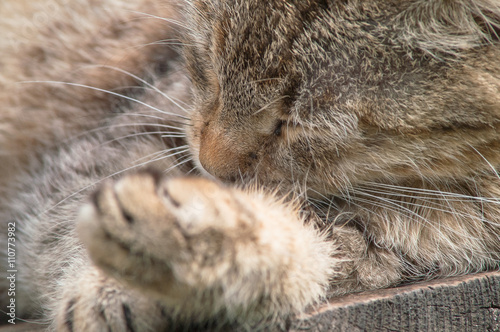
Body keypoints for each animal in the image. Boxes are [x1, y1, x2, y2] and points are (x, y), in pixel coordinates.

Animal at [0, 0, 500, 330]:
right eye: (206, 63)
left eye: (291, 122)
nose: (210, 166)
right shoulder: (120, 137)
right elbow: (72, 215)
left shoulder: (394, 250)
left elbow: (301, 248)